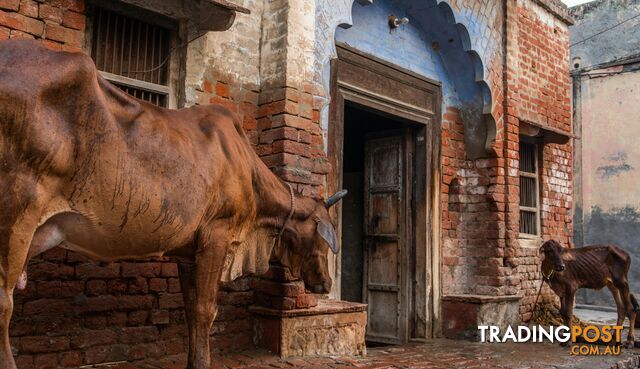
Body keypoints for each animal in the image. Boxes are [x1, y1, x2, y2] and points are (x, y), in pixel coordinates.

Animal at [0, 39, 344, 368]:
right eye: (323, 239)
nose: (326, 283)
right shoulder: (216, 236)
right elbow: (206, 310)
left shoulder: (188, 252)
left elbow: (191, 311)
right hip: (14, 213)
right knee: (4, 302)